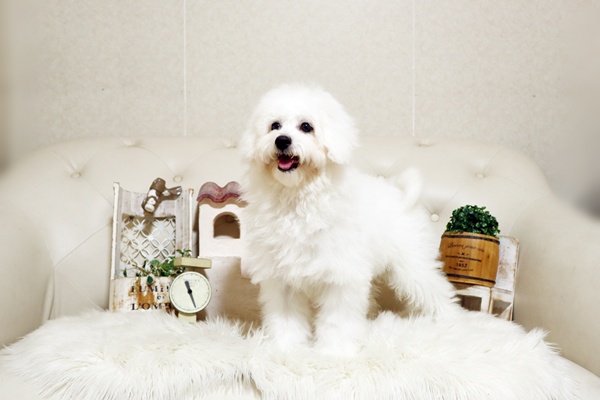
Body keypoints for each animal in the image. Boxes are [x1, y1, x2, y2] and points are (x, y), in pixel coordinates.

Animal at [239, 84, 457, 356]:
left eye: (306, 127)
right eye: (274, 126)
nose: (282, 140)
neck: (298, 198)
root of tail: (401, 195)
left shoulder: (341, 277)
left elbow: (337, 319)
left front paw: (334, 351)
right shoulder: (283, 280)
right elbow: (287, 319)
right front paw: (286, 348)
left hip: (412, 264)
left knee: (437, 290)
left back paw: (450, 322)